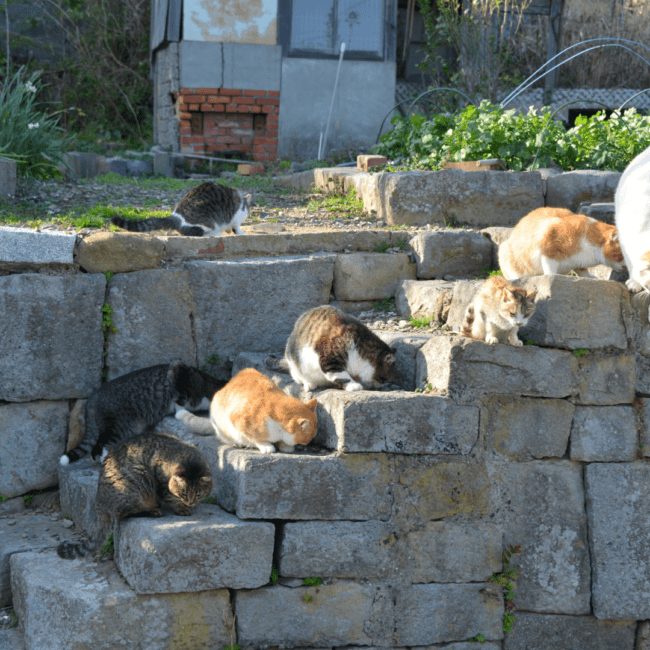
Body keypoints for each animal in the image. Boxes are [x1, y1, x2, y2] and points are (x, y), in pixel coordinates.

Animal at [57, 432, 212, 559]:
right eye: (183, 492)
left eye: (198, 493)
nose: (191, 502)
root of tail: (98, 501)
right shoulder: (161, 483)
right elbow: (170, 498)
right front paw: (181, 508)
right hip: (138, 482)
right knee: (122, 514)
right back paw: (153, 511)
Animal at [60, 362, 227, 465]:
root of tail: (93, 398)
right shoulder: (179, 371)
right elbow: (179, 399)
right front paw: (178, 408)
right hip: (117, 426)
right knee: (103, 445)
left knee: (96, 447)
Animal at [110, 181, 252, 236]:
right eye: (246, 211)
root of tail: (176, 215)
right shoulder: (236, 217)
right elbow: (236, 227)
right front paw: (239, 232)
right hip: (207, 222)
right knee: (195, 232)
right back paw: (214, 233)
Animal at [176, 368, 318, 454]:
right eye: (309, 437)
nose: (308, 443)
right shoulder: (238, 421)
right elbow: (254, 438)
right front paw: (266, 446)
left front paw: (285, 446)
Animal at [265, 305, 396, 392]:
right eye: (383, 379)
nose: (381, 387)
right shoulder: (330, 360)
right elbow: (342, 376)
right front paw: (354, 385)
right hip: (296, 364)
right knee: (298, 376)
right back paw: (309, 384)